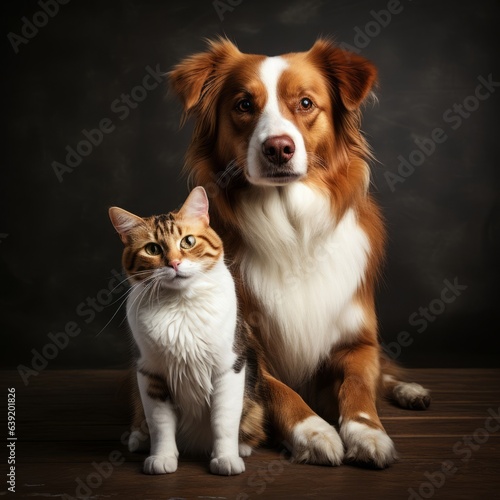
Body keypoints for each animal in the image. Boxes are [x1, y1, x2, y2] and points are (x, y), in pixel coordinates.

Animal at [109, 186, 266, 474]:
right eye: (152, 249)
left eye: (188, 242)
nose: (174, 263)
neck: (181, 305)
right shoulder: (151, 373)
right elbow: (160, 424)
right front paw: (162, 457)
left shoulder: (229, 367)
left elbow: (224, 420)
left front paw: (226, 458)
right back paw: (138, 438)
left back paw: (242, 447)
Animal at [169, 39, 430, 468]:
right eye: (244, 104)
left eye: (306, 103)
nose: (278, 148)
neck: (292, 229)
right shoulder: (245, 348)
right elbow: (280, 391)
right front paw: (313, 431)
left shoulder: (356, 339)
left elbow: (359, 384)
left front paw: (368, 432)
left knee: (384, 370)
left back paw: (409, 390)